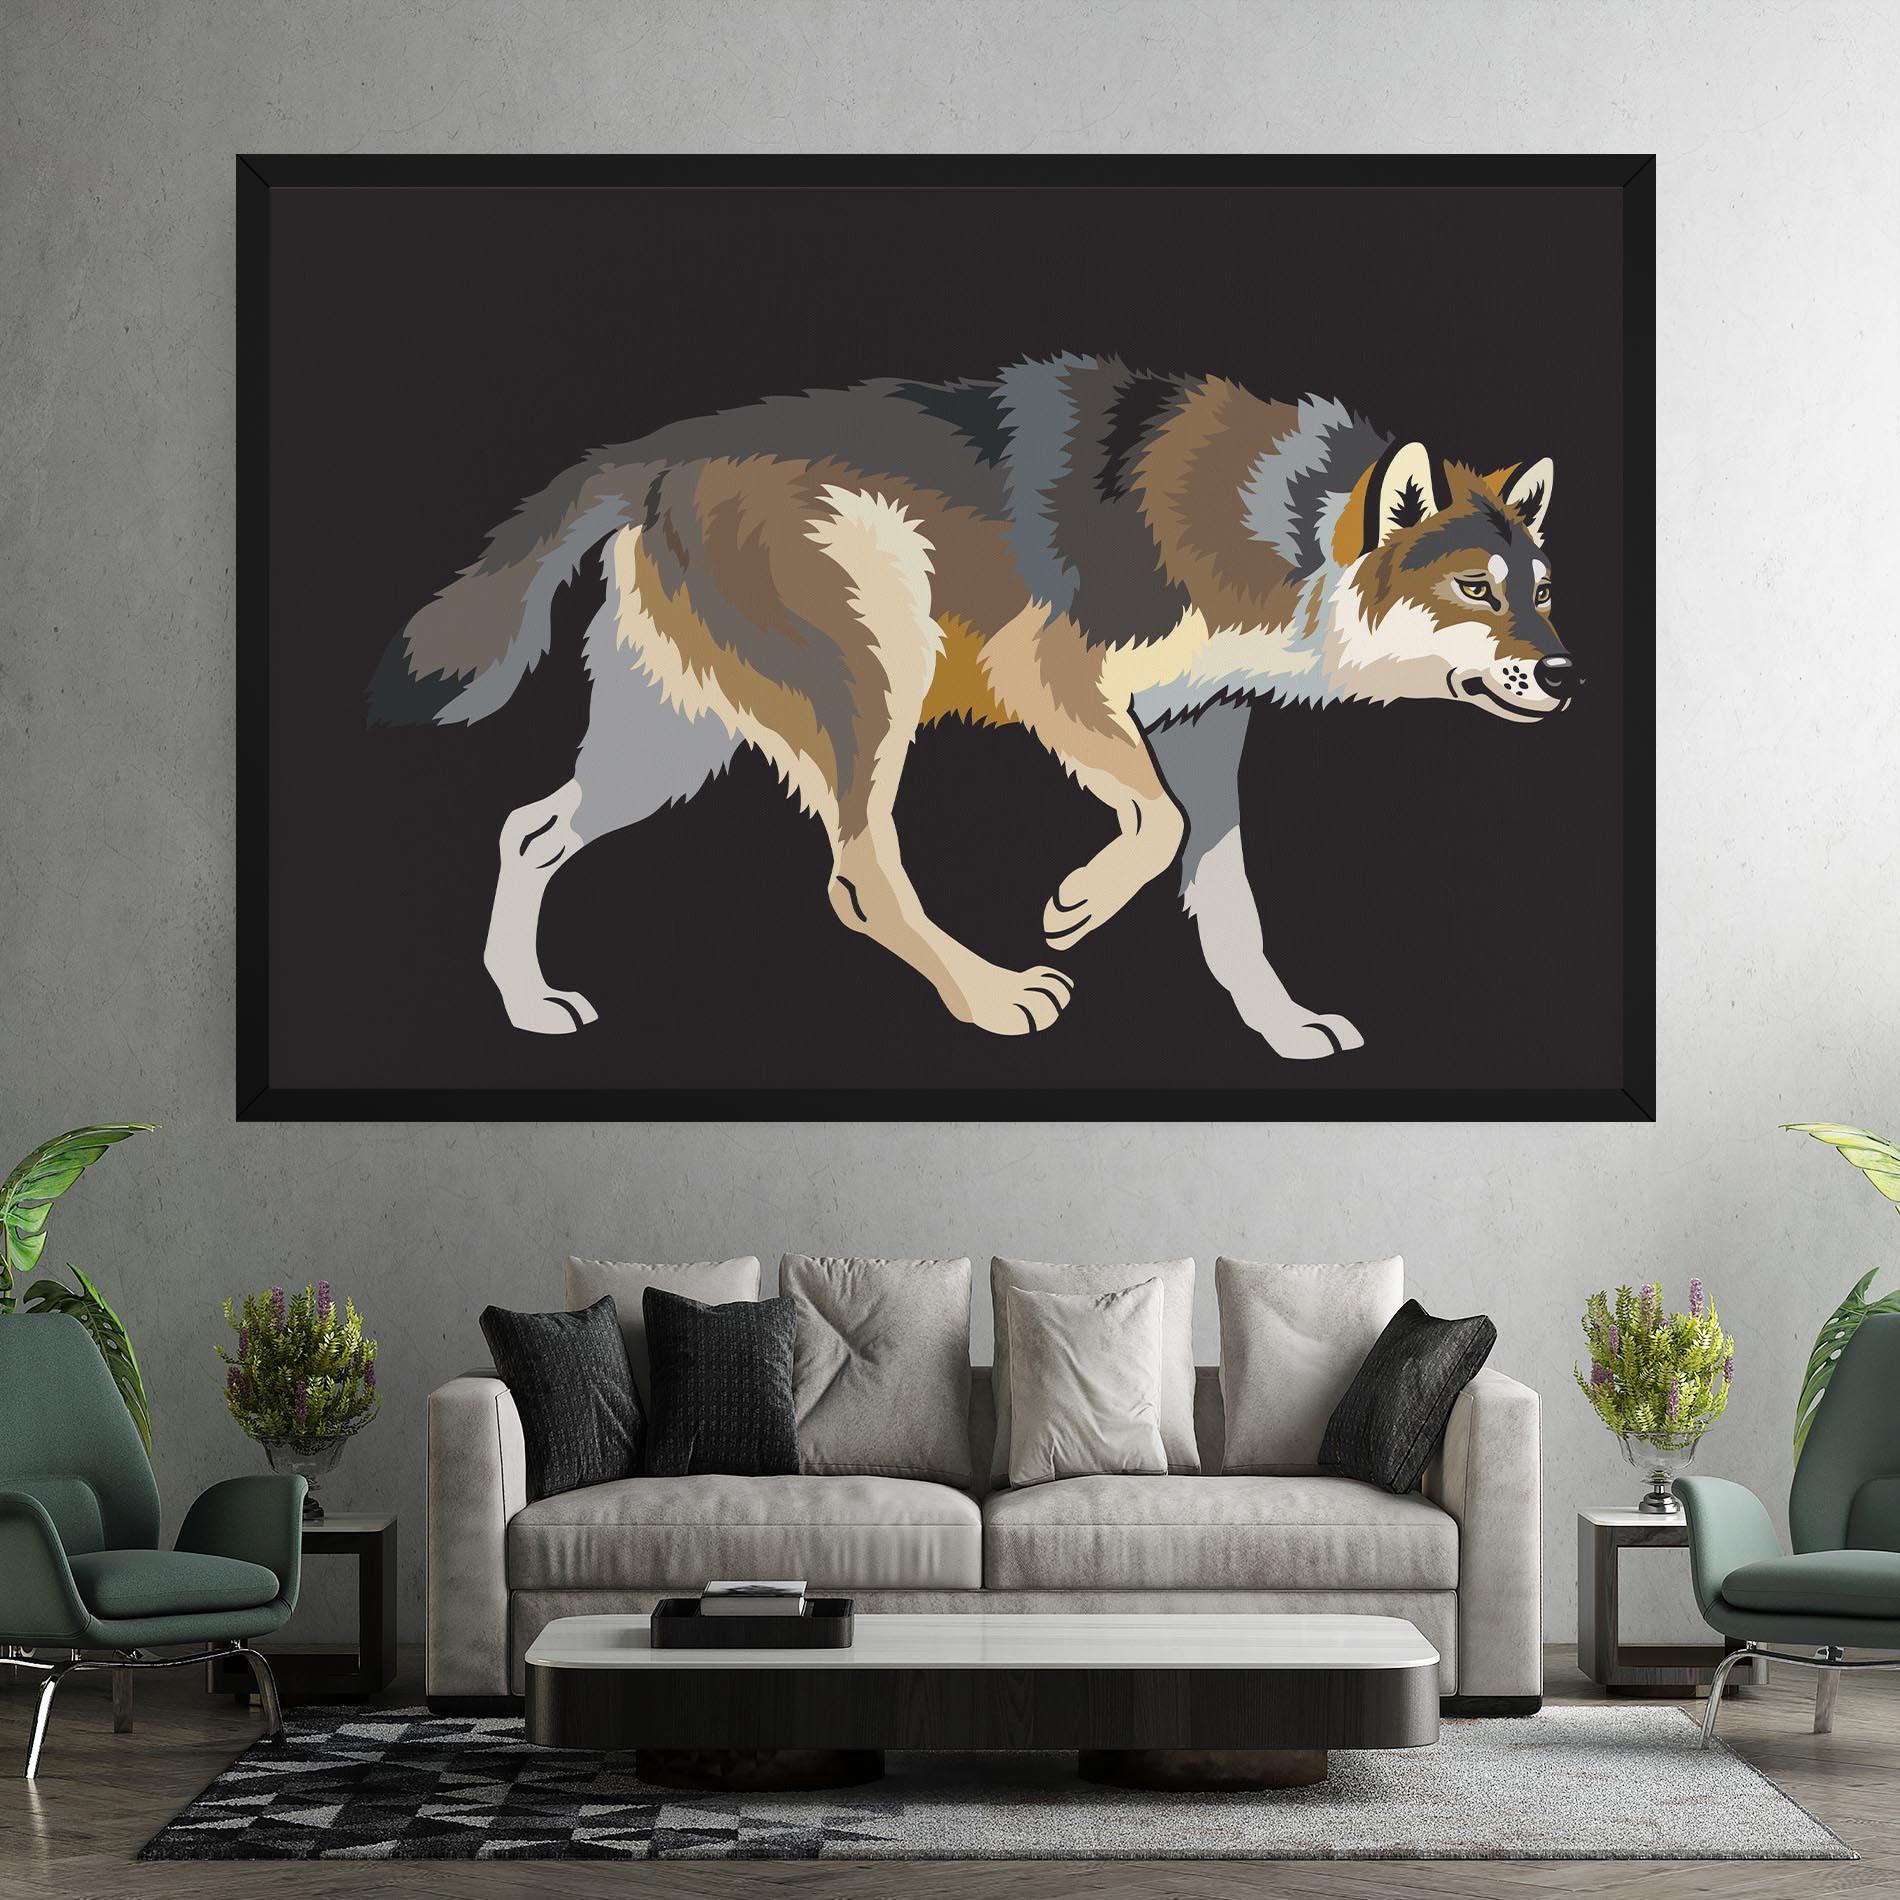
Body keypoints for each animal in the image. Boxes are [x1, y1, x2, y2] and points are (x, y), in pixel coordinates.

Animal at [370, 355, 1572, 1058]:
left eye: (1544, 592)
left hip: (669, 749)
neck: (1289, 529)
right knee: (858, 873)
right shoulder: (1051, 674)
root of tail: (649, 452)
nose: (1569, 677)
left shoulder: (1203, 725)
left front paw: (1281, 1027)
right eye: (1476, 591)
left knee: (528, 830)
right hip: (873, 680)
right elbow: (1155, 826)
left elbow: (1226, 898)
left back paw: (526, 1005)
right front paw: (1076, 903)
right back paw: (991, 998)